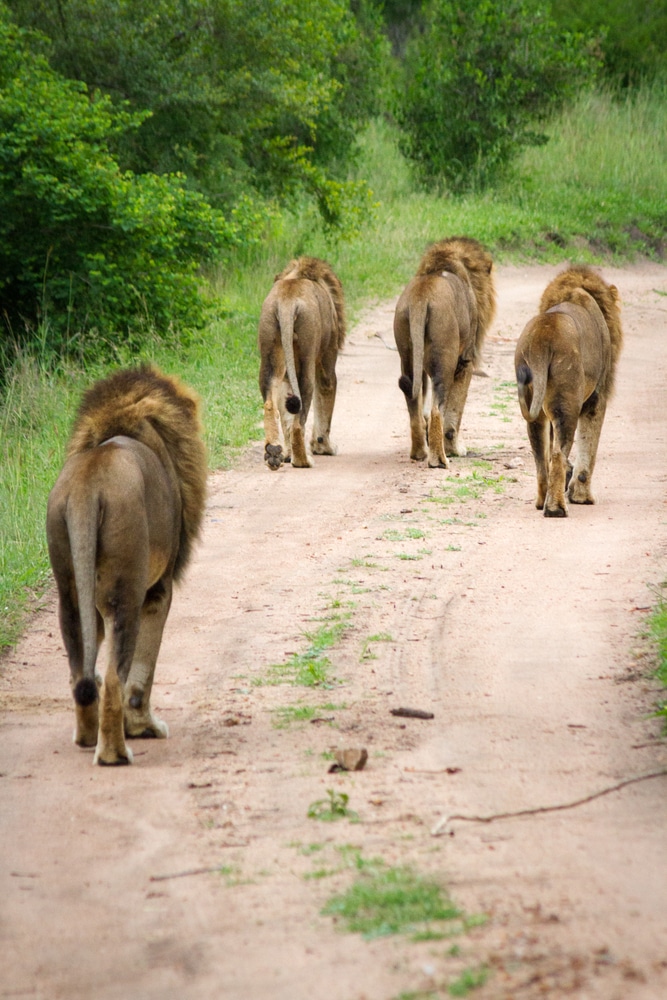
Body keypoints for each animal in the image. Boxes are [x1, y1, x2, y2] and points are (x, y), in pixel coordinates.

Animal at [46, 368, 206, 764]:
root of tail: (87, 487)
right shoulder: (159, 590)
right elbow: (142, 672)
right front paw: (144, 727)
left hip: (70, 592)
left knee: (81, 674)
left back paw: (87, 738)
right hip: (127, 594)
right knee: (116, 678)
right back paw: (115, 754)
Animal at [258, 256, 348, 470]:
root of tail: (286, 302)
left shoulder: (285, 375)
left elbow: (286, 420)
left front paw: (286, 454)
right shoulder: (326, 362)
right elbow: (325, 401)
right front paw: (324, 447)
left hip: (270, 357)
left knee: (271, 404)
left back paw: (274, 453)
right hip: (307, 361)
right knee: (300, 421)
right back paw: (303, 461)